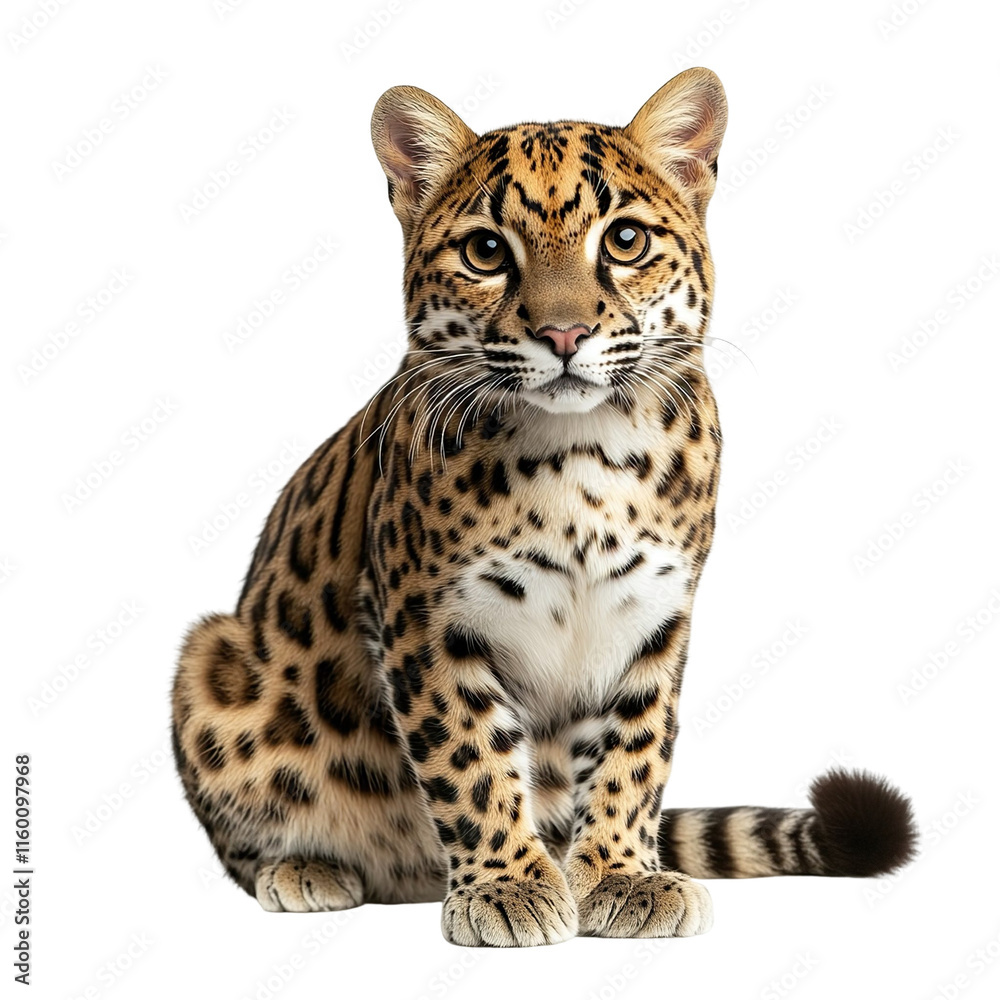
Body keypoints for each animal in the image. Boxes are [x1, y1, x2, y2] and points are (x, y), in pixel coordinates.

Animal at [171, 68, 916, 947]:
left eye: (624, 241)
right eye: (487, 251)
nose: (563, 334)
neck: (583, 456)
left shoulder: (654, 618)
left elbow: (634, 752)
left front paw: (624, 875)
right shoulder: (427, 619)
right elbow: (468, 756)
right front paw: (508, 886)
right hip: (208, 660)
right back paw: (310, 868)